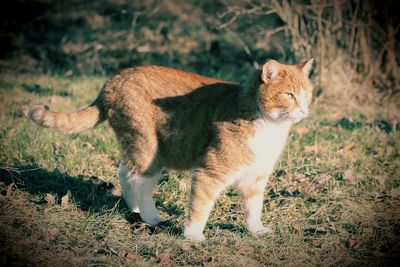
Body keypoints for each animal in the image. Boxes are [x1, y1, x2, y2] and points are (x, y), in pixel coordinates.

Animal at [23, 59, 314, 243]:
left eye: (307, 94)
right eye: (289, 95)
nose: (304, 109)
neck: (268, 126)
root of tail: (113, 80)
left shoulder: (256, 176)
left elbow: (253, 208)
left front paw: (256, 231)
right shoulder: (210, 172)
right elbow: (200, 206)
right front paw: (193, 236)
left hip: (142, 149)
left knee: (124, 172)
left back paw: (135, 209)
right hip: (149, 149)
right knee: (138, 180)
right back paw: (151, 217)